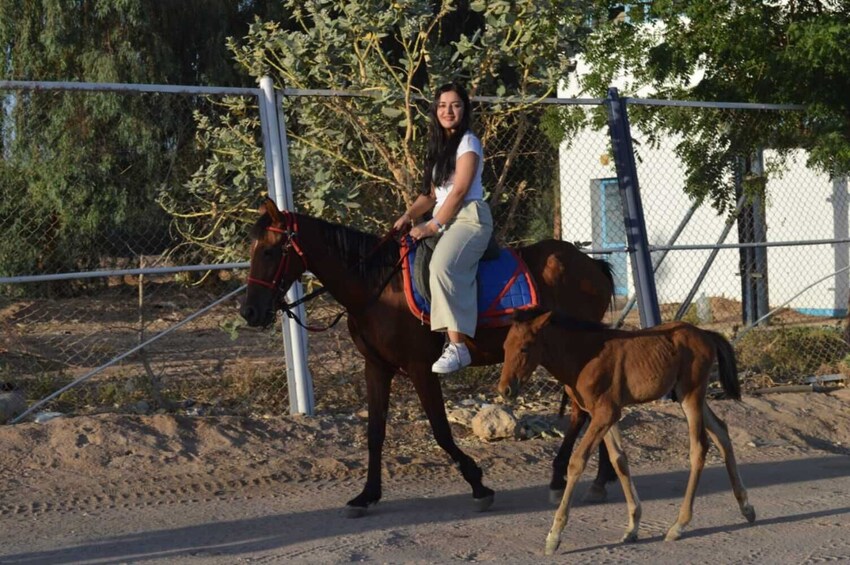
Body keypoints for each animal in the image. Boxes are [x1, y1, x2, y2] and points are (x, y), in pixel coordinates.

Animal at [242, 198, 612, 516]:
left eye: (271, 251)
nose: (249, 312)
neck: (377, 285)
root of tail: (592, 265)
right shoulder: (376, 368)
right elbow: (375, 433)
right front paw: (367, 495)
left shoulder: (421, 369)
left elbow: (441, 431)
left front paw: (478, 484)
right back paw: (596, 478)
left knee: (587, 410)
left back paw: (568, 477)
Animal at [496, 306, 756, 552]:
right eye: (505, 346)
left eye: (525, 348)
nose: (505, 389)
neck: (583, 356)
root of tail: (706, 334)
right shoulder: (604, 414)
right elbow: (619, 460)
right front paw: (632, 526)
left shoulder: (605, 413)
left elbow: (577, 461)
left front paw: (554, 536)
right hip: (692, 396)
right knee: (721, 431)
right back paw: (746, 507)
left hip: (690, 395)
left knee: (699, 448)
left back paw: (679, 525)